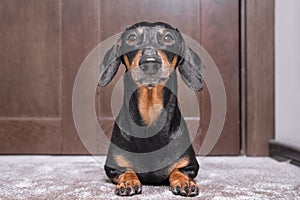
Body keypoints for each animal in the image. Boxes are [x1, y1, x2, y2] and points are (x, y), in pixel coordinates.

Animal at [98, 21, 204, 197]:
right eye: (132, 38)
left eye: (168, 38)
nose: (149, 62)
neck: (150, 120)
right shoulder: (114, 166)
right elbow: (126, 170)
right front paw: (128, 182)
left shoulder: (189, 166)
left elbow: (178, 171)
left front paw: (185, 182)